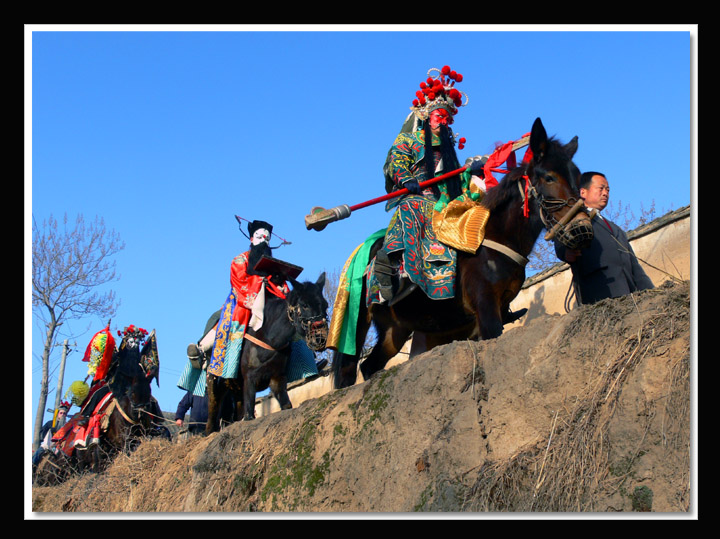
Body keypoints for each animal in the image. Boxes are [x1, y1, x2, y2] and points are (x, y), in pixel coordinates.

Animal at [205, 274, 330, 434]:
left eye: (325, 305)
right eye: (304, 305)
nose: (320, 337)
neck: (269, 338)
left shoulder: (277, 378)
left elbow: (286, 405)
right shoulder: (249, 379)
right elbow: (249, 415)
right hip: (213, 381)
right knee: (212, 411)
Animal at [332, 118, 592, 388]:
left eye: (577, 176)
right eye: (549, 177)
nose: (581, 228)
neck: (496, 237)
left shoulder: (497, 308)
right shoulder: (485, 306)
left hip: (395, 328)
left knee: (369, 365)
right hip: (357, 319)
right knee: (347, 372)